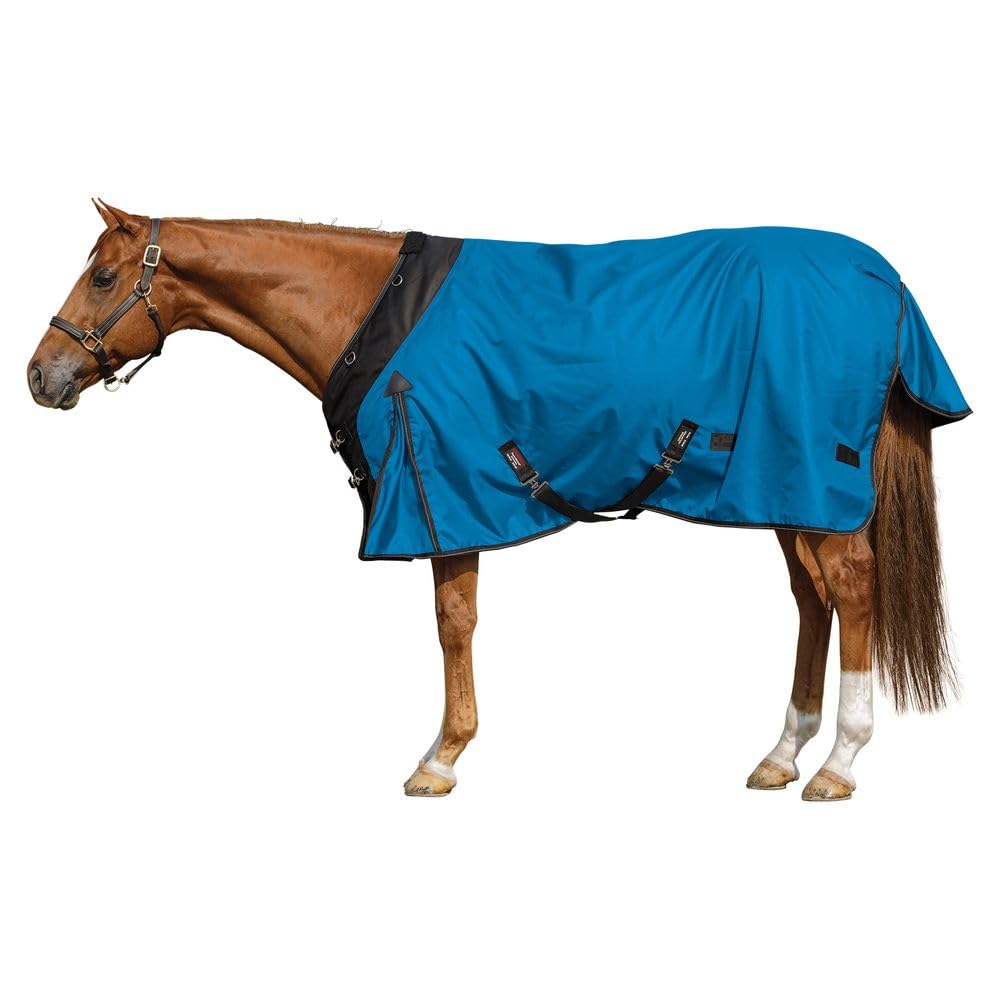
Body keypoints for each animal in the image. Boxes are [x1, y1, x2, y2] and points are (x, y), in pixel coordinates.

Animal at [27, 199, 970, 800]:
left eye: (104, 278)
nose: (41, 375)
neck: (371, 312)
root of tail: (882, 276)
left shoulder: (441, 489)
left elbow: (453, 622)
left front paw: (440, 758)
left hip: (810, 475)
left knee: (851, 587)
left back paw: (840, 764)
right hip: (781, 485)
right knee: (812, 599)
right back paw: (782, 754)